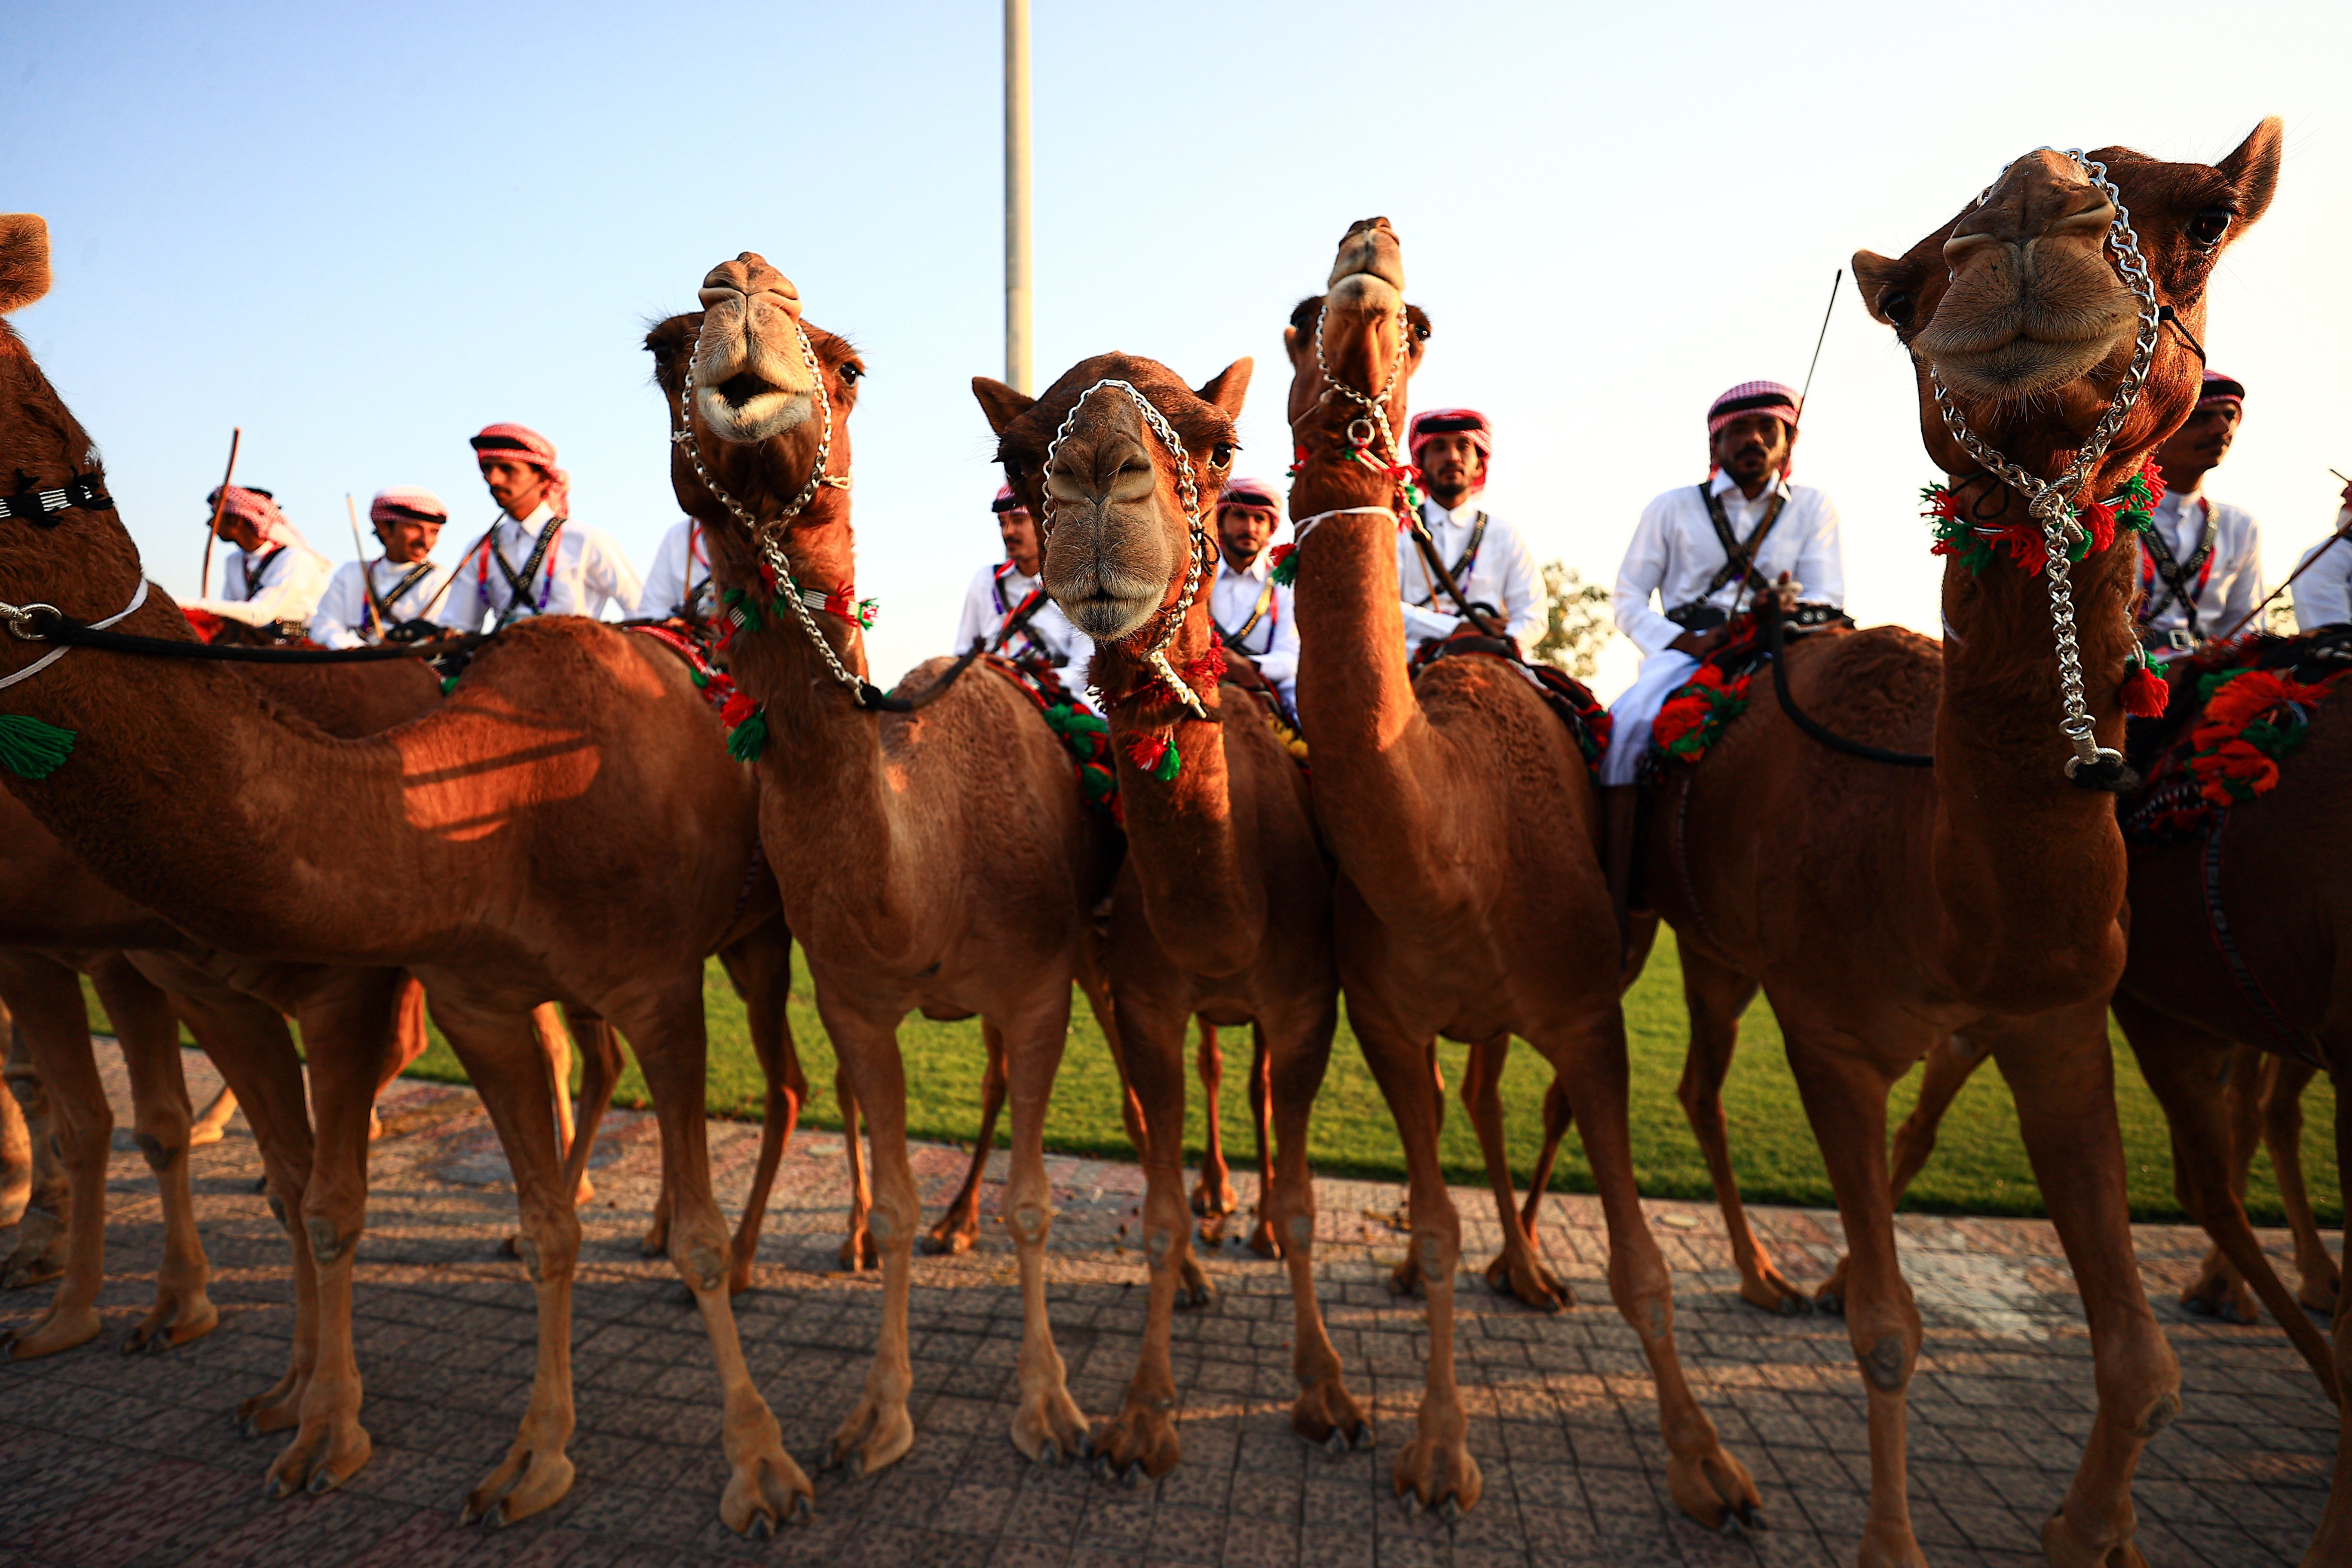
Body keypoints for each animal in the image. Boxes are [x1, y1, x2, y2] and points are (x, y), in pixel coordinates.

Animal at [0, 215, 818, 1542]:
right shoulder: (379, 982)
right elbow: (444, 1209)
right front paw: (513, 1452)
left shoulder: (604, 983)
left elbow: (322, 1193)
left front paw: (759, 1465)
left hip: (757, 937)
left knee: (794, 1082)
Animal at [640, 251, 1124, 1476]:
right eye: (662, 349)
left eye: (851, 365)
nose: (743, 287)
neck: (924, 878)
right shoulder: (855, 1001)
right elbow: (897, 1197)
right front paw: (878, 1414)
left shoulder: (1039, 987)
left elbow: (1040, 1204)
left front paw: (1050, 1407)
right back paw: (952, 1222)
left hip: (1094, 951)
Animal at [969, 345, 1364, 1485]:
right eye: (1013, 456)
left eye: (1222, 445)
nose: (1102, 475)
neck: (1222, 917)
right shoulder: (1144, 998)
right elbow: (1149, 1204)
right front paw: (1142, 1418)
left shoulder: (1307, 1003)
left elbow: (1303, 1202)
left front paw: (1325, 1394)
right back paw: (1200, 1250)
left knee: (1252, 1094)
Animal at [1279, 223, 1759, 1532]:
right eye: (1292, 321)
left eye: (1423, 322)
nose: (1366, 252)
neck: (1456, 855)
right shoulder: (1385, 1018)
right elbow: (1439, 1213)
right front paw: (1438, 1452)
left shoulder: (1588, 1013)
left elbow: (1641, 1261)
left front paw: (1710, 1470)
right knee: (1473, 1107)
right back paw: (1443, 1257)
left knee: (1511, 1101)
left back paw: (1533, 1266)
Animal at [1618, 126, 2276, 1568]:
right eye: (1908, 290)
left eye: (2206, 216)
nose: (2030, 212)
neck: (1928, 874)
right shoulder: (1832, 1033)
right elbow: (1885, 1331)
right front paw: (1890, 1538)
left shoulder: (2057, 1025)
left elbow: (2142, 1362)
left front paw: (2094, 1529)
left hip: (1725, 950)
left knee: (1692, 1083)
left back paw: (1760, 1276)